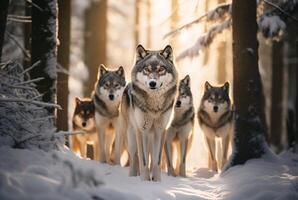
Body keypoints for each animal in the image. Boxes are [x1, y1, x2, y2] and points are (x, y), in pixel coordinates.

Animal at [120, 44, 177, 181]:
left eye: (161, 69)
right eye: (146, 69)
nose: (152, 83)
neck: (154, 107)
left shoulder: (160, 130)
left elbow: (156, 161)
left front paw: (156, 181)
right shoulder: (142, 130)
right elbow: (144, 161)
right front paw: (145, 181)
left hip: (151, 137)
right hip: (132, 136)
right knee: (134, 158)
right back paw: (133, 177)